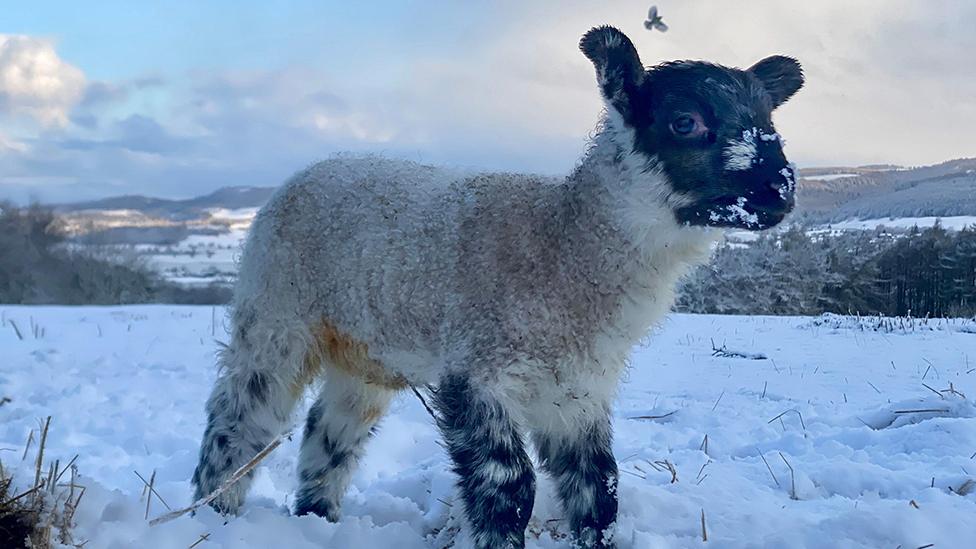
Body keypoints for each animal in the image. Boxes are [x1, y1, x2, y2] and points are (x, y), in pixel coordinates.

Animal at [191, 24, 800, 548]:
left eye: (768, 117)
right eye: (684, 121)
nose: (780, 190)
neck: (563, 245)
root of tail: (307, 172)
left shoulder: (578, 388)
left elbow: (599, 487)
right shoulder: (479, 367)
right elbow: (509, 487)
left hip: (366, 349)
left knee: (329, 428)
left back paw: (318, 517)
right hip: (275, 313)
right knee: (239, 417)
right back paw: (212, 515)